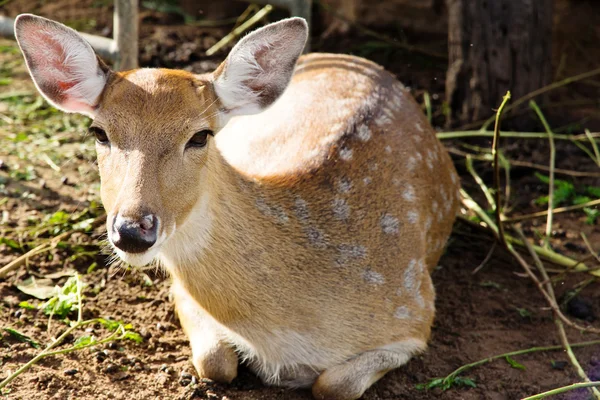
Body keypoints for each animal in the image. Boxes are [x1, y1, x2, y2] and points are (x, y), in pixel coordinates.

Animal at [16, 13, 462, 400]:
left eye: (200, 136)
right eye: (99, 132)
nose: (132, 229)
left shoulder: (414, 309)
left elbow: (333, 385)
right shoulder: (183, 294)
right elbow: (214, 361)